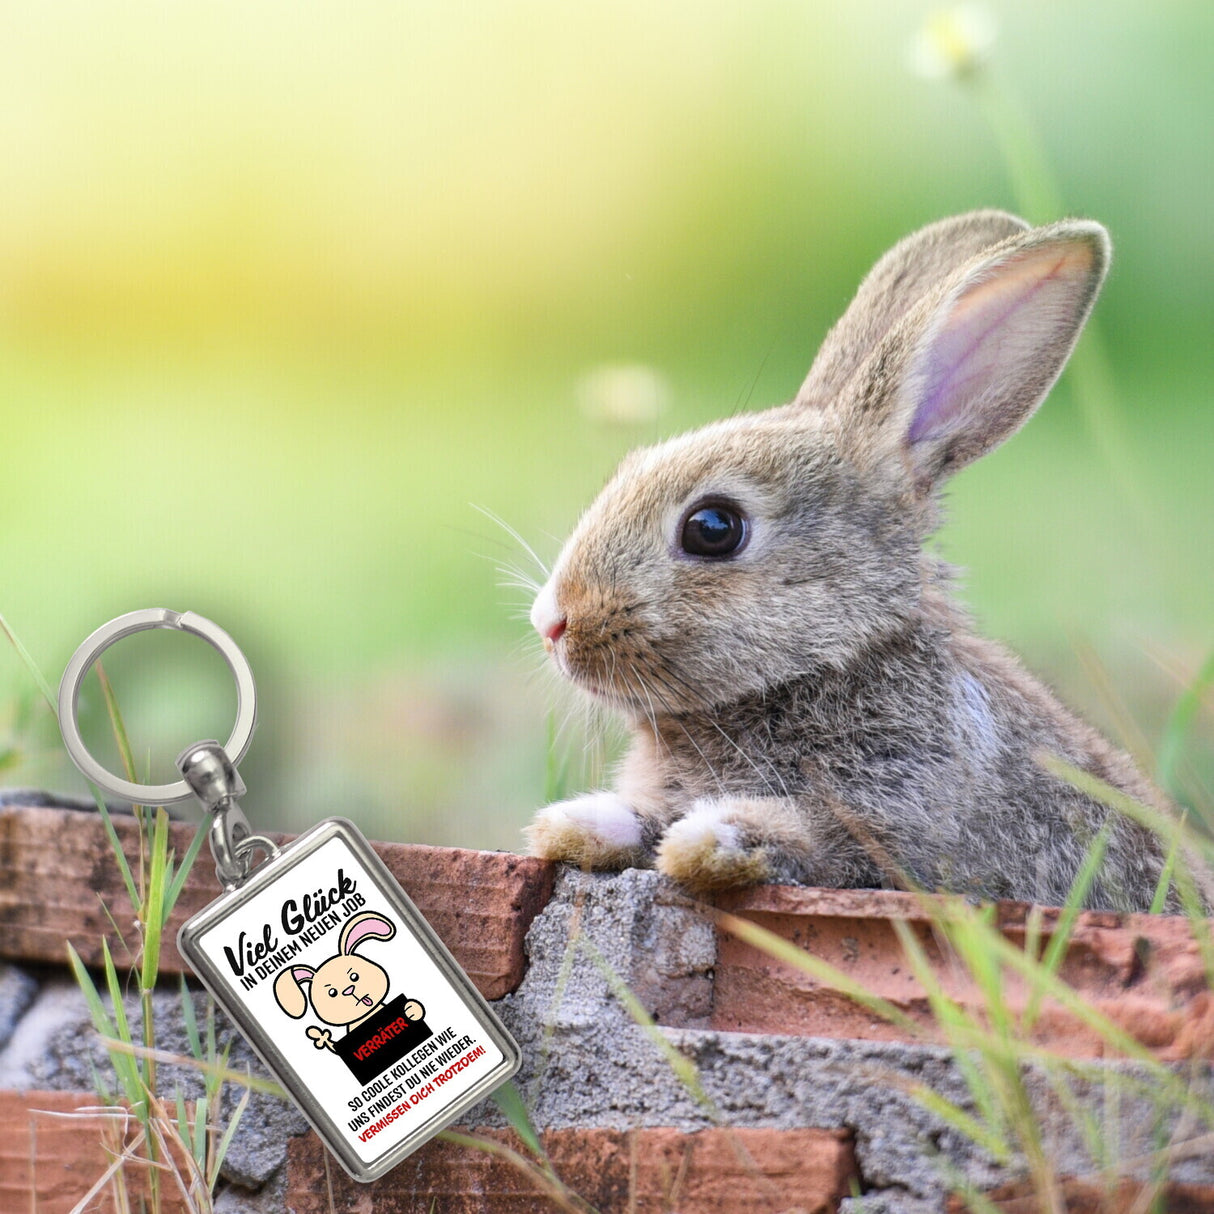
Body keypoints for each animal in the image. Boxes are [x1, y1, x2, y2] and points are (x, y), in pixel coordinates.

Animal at [273, 910, 425, 1051]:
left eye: (354, 976)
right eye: (332, 992)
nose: (349, 990)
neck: (368, 1016)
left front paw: (410, 1009)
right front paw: (323, 1038)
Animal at [524, 209, 1180, 913]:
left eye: (713, 528)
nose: (551, 622)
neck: (829, 664)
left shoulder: (899, 826)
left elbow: (815, 841)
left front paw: (712, 839)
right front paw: (577, 823)